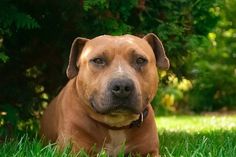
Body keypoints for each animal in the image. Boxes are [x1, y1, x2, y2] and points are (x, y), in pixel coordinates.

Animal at [40, 32, 170, 156]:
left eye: (140, 60)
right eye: (98, 60)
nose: (122, 86)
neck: (116, 125)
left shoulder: (149, 151)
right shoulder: (73, 150)